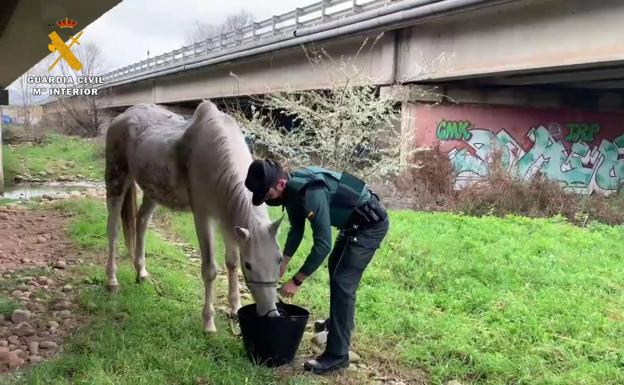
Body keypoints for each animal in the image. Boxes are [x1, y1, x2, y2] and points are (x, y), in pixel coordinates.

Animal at [104, 99, 282, 330]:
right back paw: (112, 281)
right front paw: (209, 323)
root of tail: (122, 116)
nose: (270, 313)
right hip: (116, 177)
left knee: (141, 222)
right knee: (113, 229)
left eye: (279, 260)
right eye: (249, 265)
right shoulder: (204, 216)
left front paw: (235, 308)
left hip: (153, 191)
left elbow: (231, 262)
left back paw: (141, 273)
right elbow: (210, 270)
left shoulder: (228, 219)